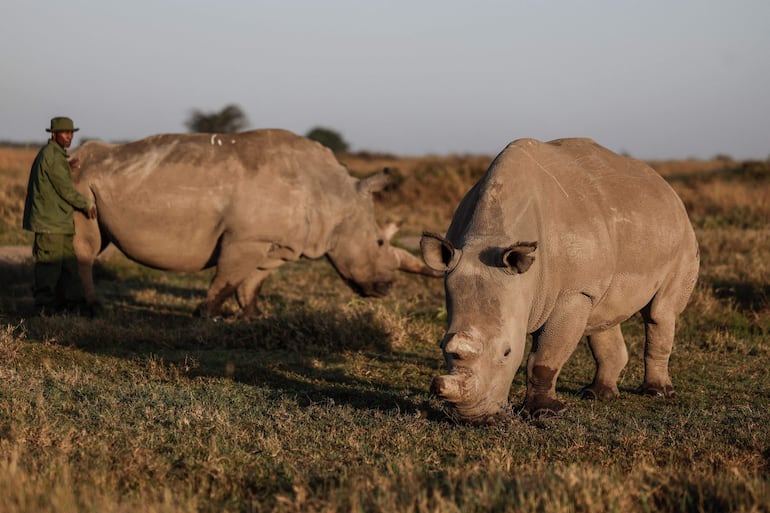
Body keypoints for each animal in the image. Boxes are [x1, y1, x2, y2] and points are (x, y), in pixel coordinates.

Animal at [70, 129, 438, 316]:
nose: (386, 288)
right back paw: (93, 307)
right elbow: (226, 280)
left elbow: (251, 283)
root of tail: (74, 156)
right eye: (379, 242)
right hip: (80, 184)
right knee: (87, 246)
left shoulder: (274, 243)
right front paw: (206, 317)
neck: (335, 197)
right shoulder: (245, 239)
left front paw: (253, 319)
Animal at [416, 138, 700, 422]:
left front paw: (544, 413)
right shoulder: (576, 289)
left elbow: (544, 356)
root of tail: (665, 186)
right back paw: (597, 394)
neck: (489, 237)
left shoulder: (573, 292)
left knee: (659, 313)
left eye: (507, 352)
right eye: (442, 345)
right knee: (601, 317)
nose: (472, 418)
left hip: (682, 237)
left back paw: (657, 393)